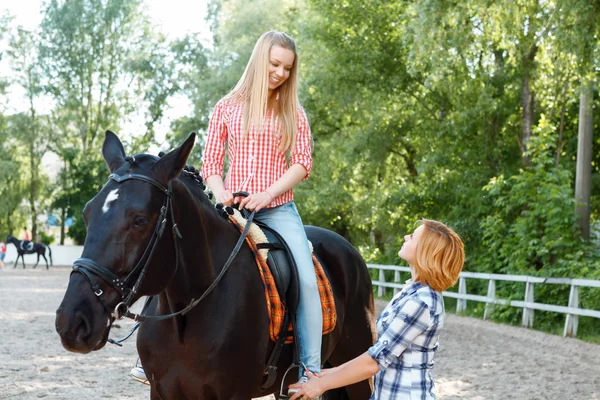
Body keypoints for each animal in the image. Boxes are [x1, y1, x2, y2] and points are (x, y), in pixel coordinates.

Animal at [55, 132, 376, 400]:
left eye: (140, 220)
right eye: (87, 213)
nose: (73, 322)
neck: (191, 311)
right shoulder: (162, 392)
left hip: (357, 372)